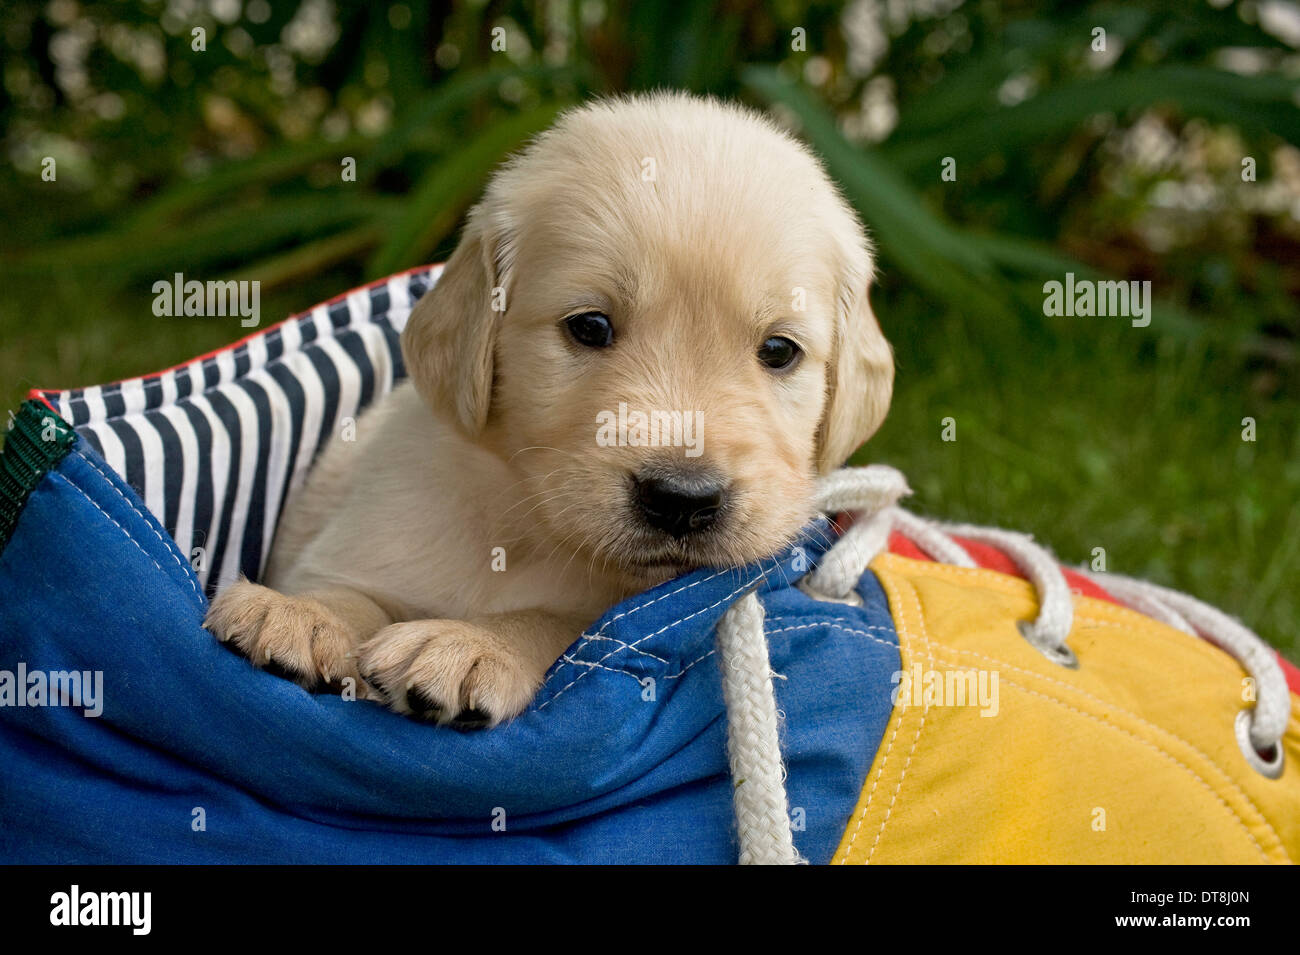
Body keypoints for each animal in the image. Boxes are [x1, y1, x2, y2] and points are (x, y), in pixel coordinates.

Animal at [205, 93, 894, 727]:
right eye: (589, 326)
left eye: (779, 350)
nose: (682, 498)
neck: (532, 530)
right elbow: (350, 587)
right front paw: (300, 613)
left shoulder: (598, 617)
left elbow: (561, 622)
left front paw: (473, 643)